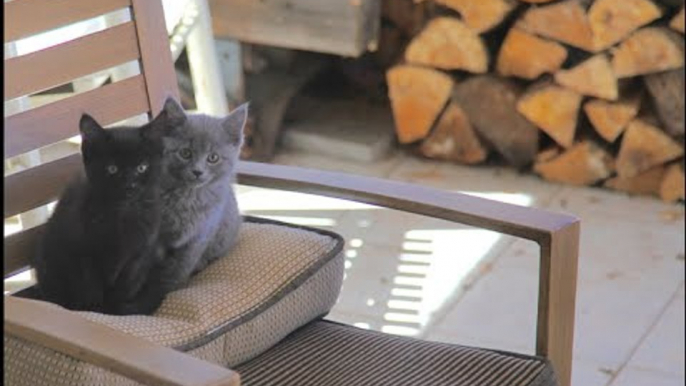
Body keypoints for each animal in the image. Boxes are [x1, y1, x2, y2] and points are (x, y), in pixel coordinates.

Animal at [33, 114, 167, 314]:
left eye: (142, 167)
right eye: (112, 169)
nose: (129, 186)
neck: (121, 213)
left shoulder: (137, 256)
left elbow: (125, 286)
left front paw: (116, 309)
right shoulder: (82, 255)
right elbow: (89, 288)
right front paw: (95, 310)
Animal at [127, 98, 249, 312]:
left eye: (213, 157)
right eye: (185, 153)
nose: (197, 171)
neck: (187, 198)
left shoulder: (199, 237)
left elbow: (176, 271)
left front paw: (165, 292)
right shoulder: (153, 237)